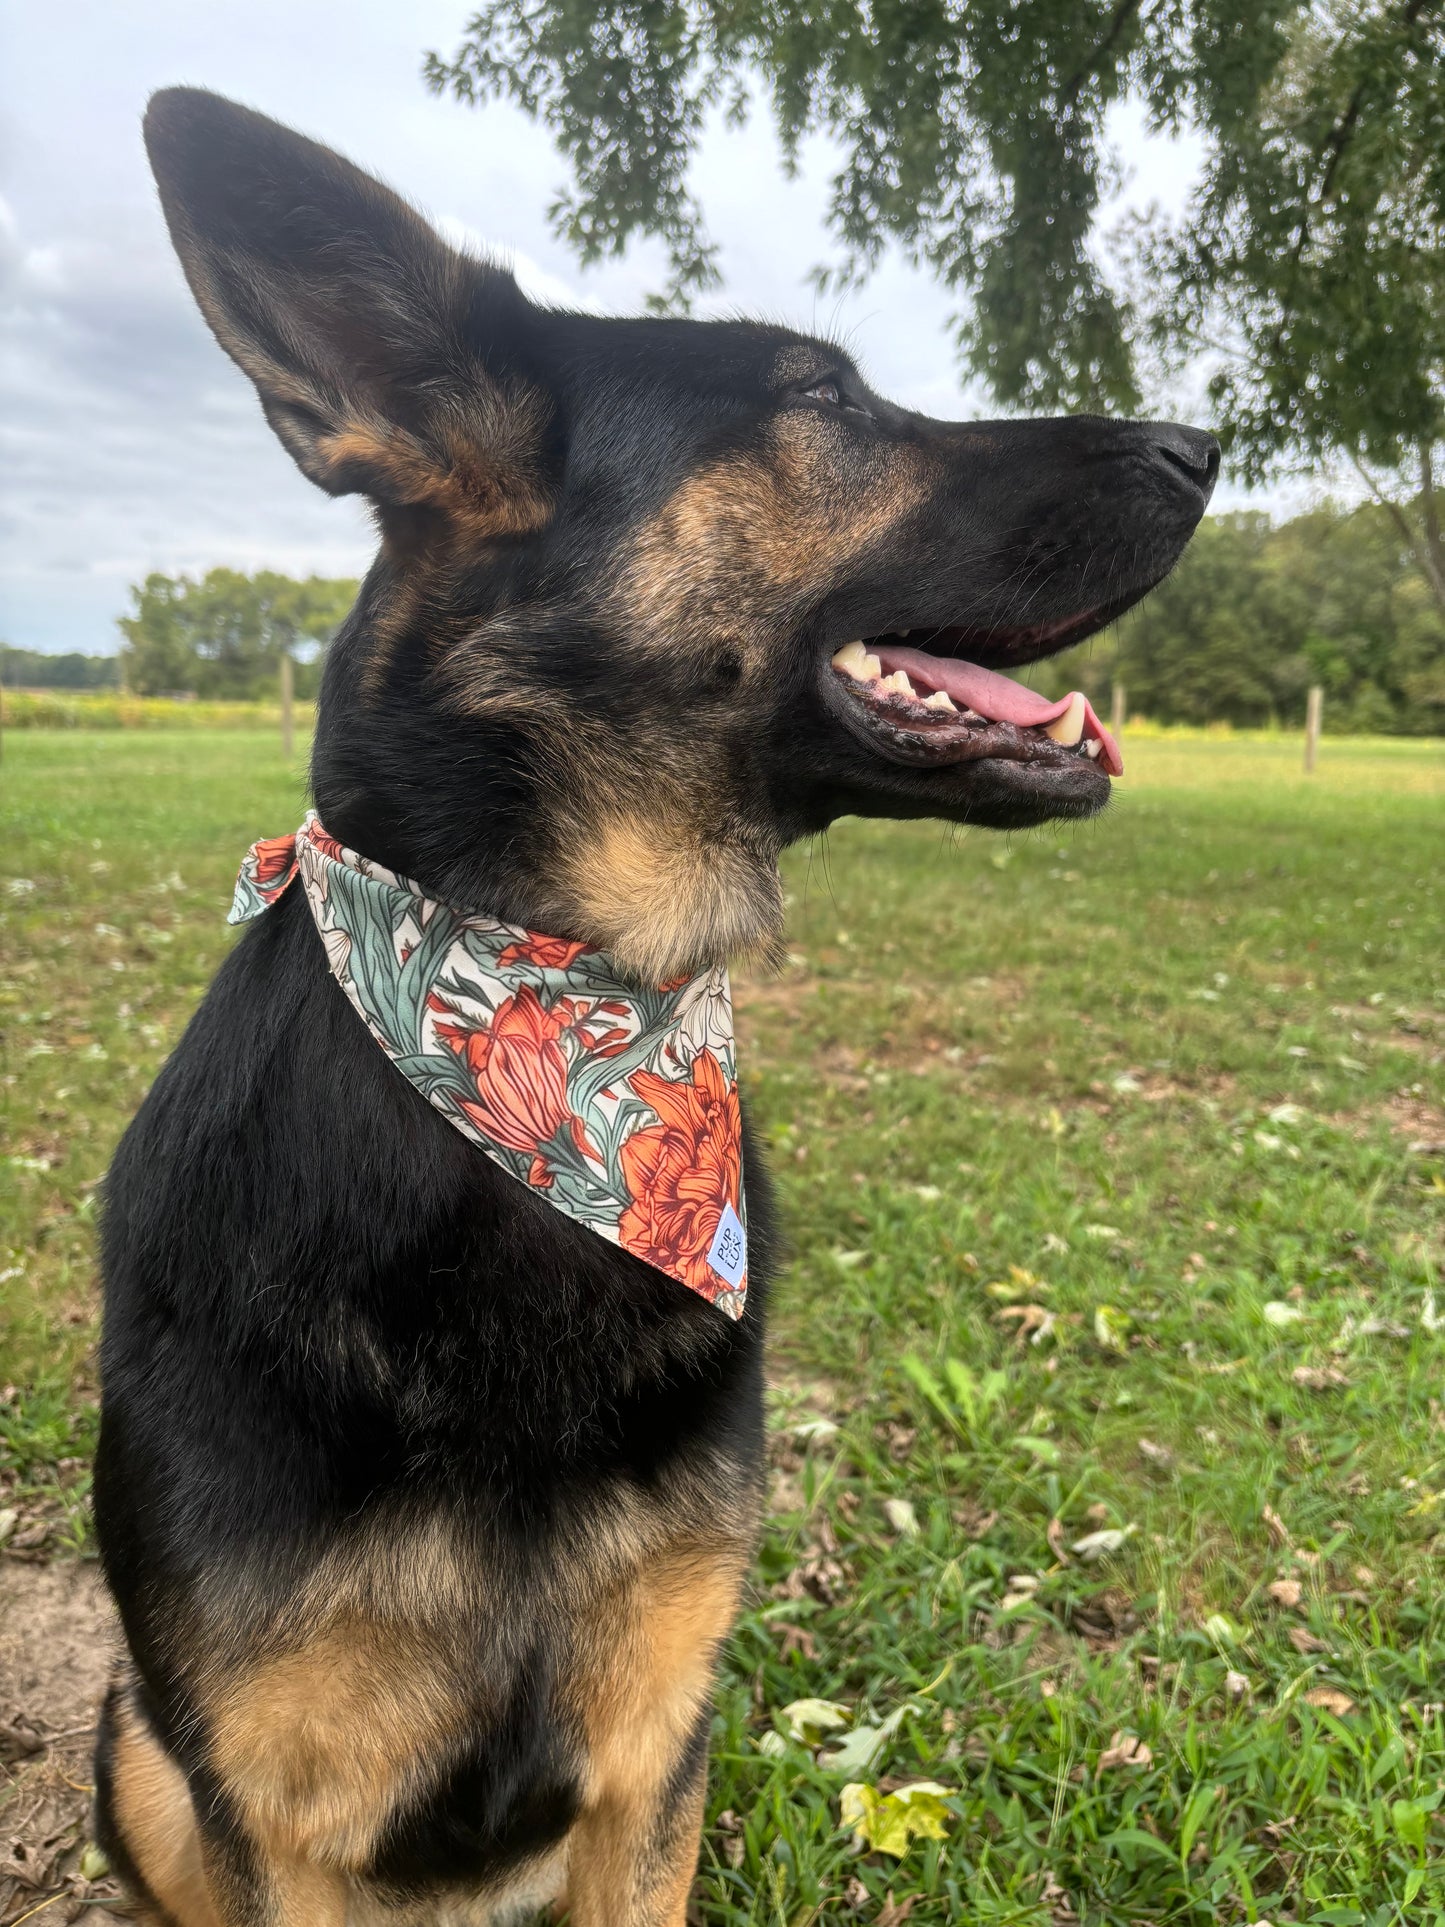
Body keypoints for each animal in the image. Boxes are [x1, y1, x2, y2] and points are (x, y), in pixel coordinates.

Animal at [93, 82, 1225, 1919]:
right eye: (827, 399)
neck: (563, 1023)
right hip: (136, 1740)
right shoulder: (270, 1807)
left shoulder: (654, 1751)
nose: (1206, 443)